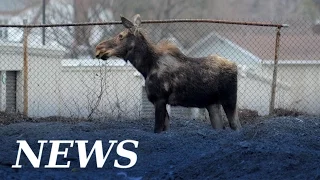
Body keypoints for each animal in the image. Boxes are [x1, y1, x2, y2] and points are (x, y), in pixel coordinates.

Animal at [94, 14, 240, 133]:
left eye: (121, 36)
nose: (99, 48)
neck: (146, 67)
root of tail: (235, 66)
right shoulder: (158, 101)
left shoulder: (160, 99)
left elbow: (157, 129)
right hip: (212, 104)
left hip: (229, 100)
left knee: (236, 126)